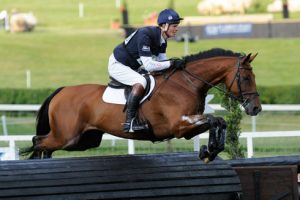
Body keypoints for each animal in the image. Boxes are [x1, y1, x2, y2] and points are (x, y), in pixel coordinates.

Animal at [21, 47, 260, 162]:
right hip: (67, 136)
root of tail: (61, 91)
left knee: (44, 144)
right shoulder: (179, 125)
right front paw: (209, 150)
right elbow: (213, 119)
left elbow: (218, 121)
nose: (256, 108)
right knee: (39, 141)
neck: (187, 83)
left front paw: (210, 150)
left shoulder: (188, 128)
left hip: (84, 140)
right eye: (246, 77)